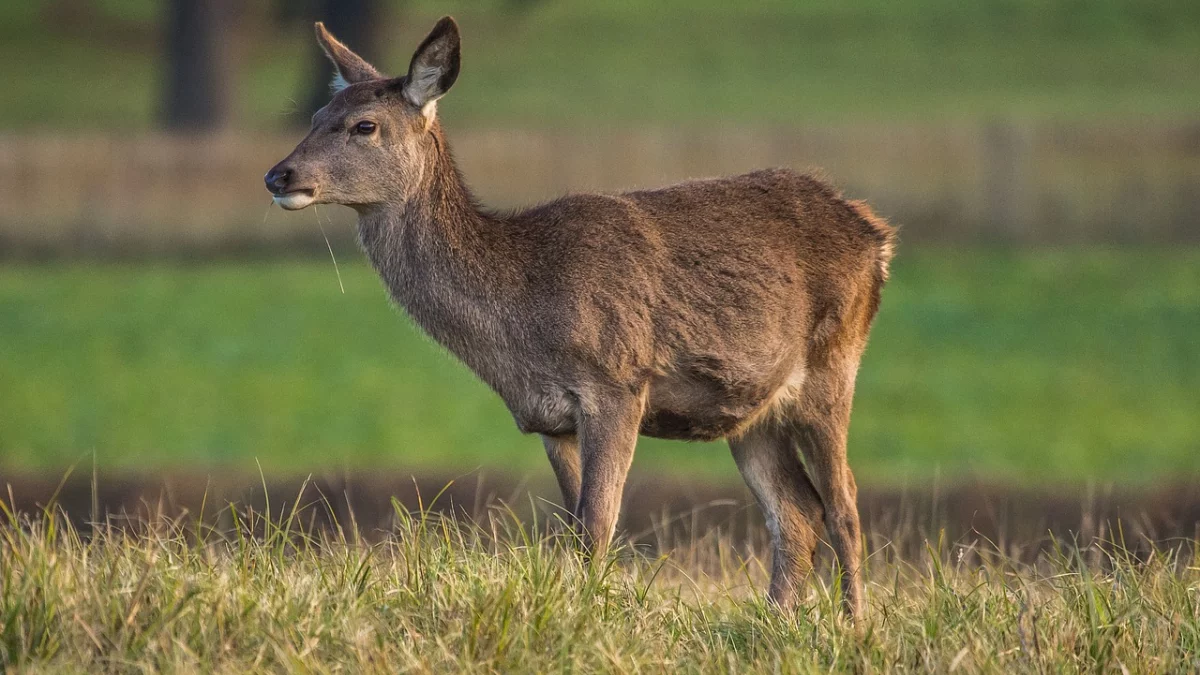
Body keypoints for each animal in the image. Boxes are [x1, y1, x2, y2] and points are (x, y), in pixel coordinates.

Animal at [267, 15, 897, 619]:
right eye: (317, 115)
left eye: (364, 125)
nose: (279, 175)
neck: (523, 309)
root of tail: (876, 235)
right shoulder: (552, 420)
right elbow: (574, 530)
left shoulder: (617, 384)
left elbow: (597, 527)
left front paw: (588, 622)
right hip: (751, 410)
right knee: (796, 511)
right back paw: (775, 622)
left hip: (835, 362)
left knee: (843, 505)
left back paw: (853, 625)